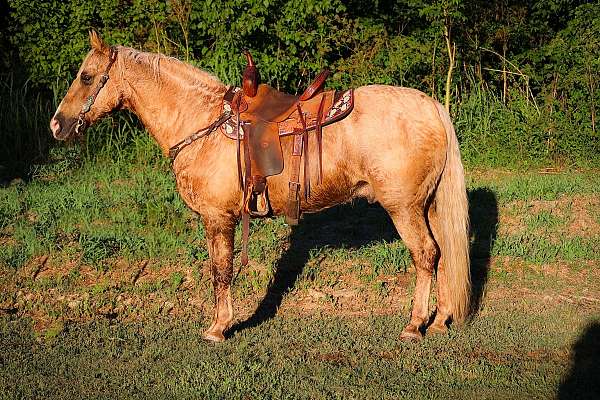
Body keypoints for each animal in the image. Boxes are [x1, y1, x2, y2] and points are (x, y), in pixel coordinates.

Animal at [50, 32, 468, 344]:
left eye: (86, 76)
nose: (57, 125)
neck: (200, 121)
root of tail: (431, 107)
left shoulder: (218, 218)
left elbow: (220, 270)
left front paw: (219, 327)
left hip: (404, 208)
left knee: (425, 255)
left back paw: (414, 325)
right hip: (428, 206)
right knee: (444, 252)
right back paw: (440, 320)